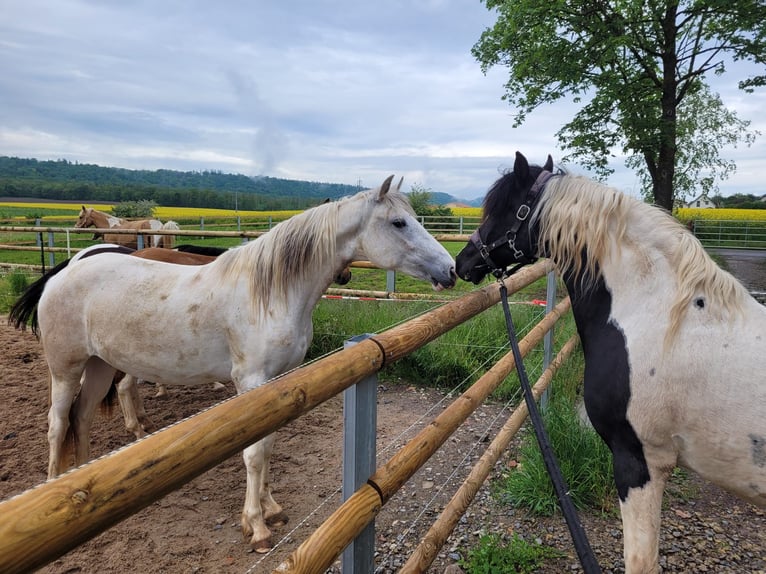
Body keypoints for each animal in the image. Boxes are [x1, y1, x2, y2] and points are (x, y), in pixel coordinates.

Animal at [10, 177, 456, 552]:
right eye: (399, 222)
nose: (451, 270)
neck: (270, 291)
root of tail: (65, 270)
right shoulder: (252, 382)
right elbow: (254, 454)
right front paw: (256, 526)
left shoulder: (277, 384)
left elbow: (269, 446)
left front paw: (272, 508)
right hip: (66, 368)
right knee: (57, 423)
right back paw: (54, 486)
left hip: (100, 366)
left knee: (81, 418)